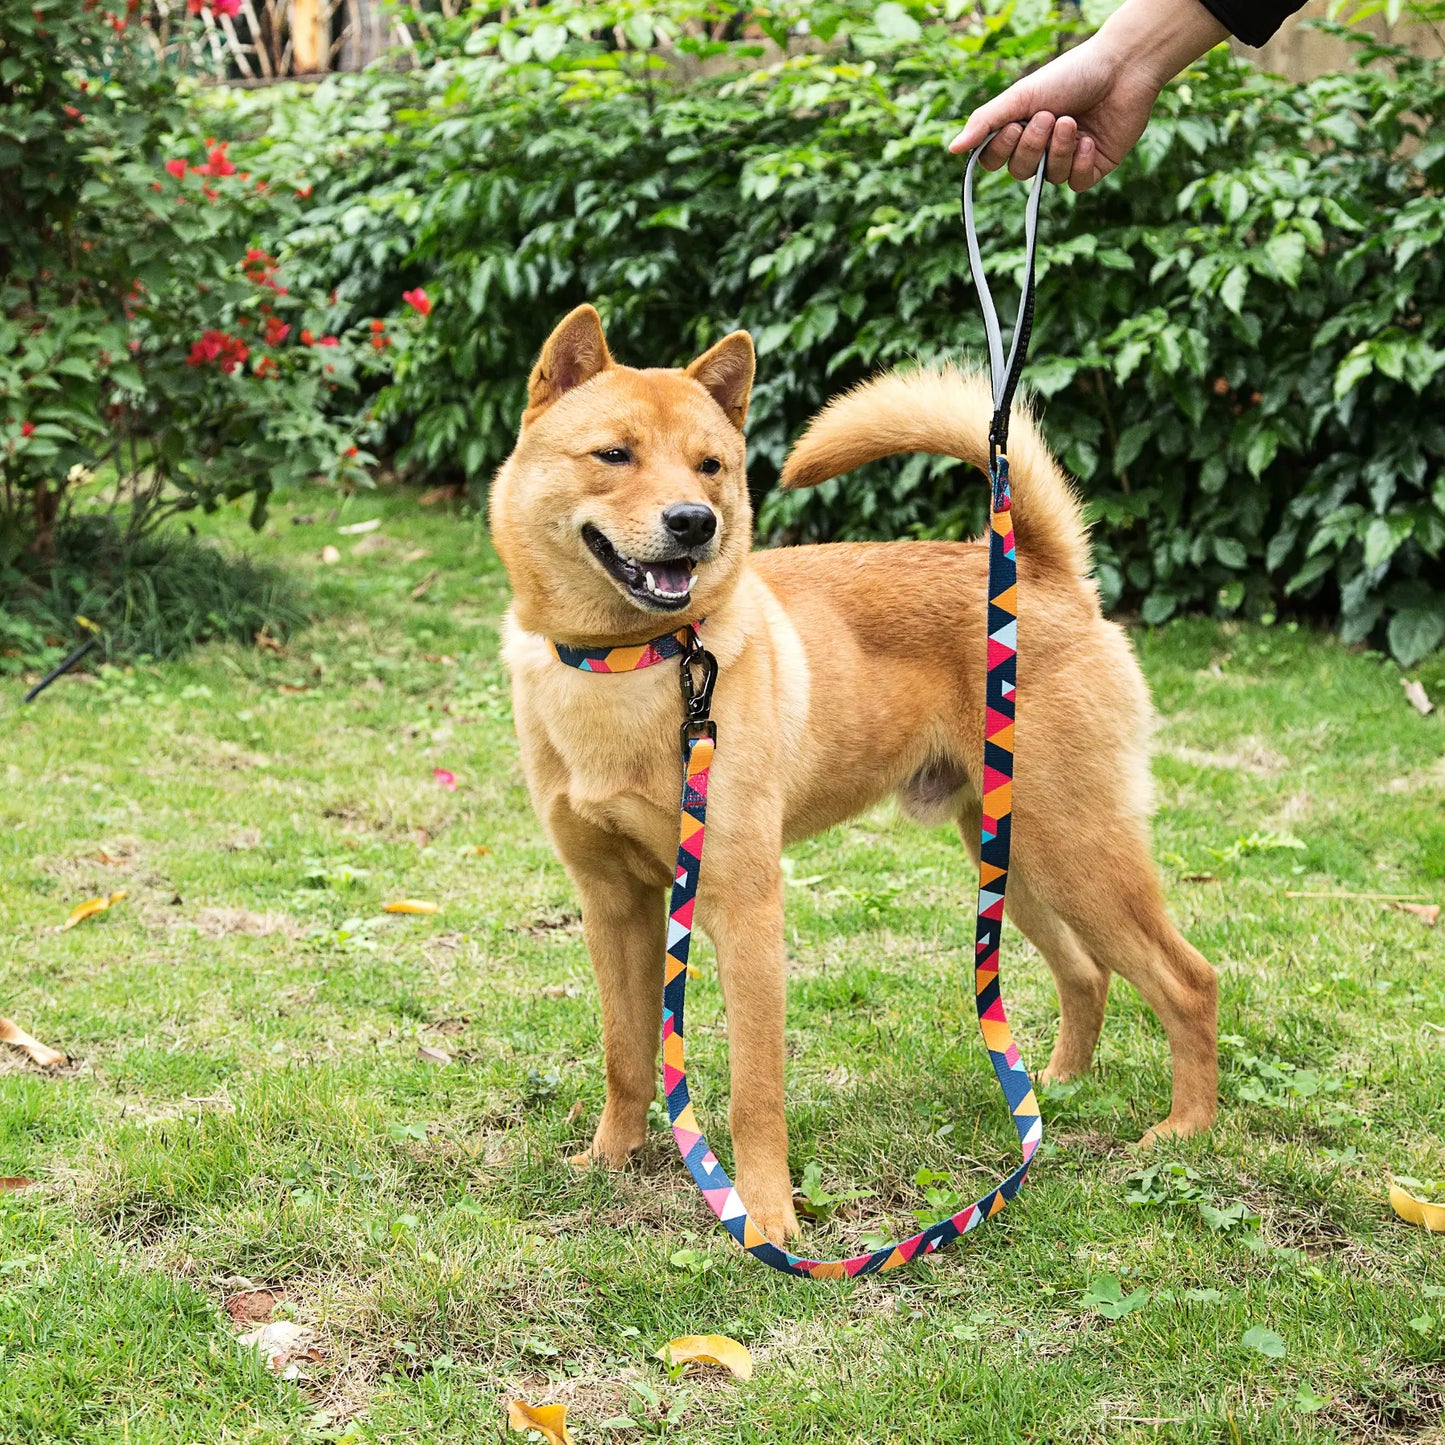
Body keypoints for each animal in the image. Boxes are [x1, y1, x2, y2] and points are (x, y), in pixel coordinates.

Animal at [491, 302, 1213, 1242]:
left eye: (710, 465)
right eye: (613, 454)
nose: (694, 522)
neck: (633, 663)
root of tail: (1041, 574)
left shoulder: (745, 911)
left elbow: (753, 1093)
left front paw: (764, 1216)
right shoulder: (614, 905)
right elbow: (626, 1055)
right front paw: (609, 1159)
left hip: (1077, 850)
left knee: (1187, 981)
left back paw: (1185, 1127)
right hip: (1016, 861)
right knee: (1085, 971)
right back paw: (1053, 1090)